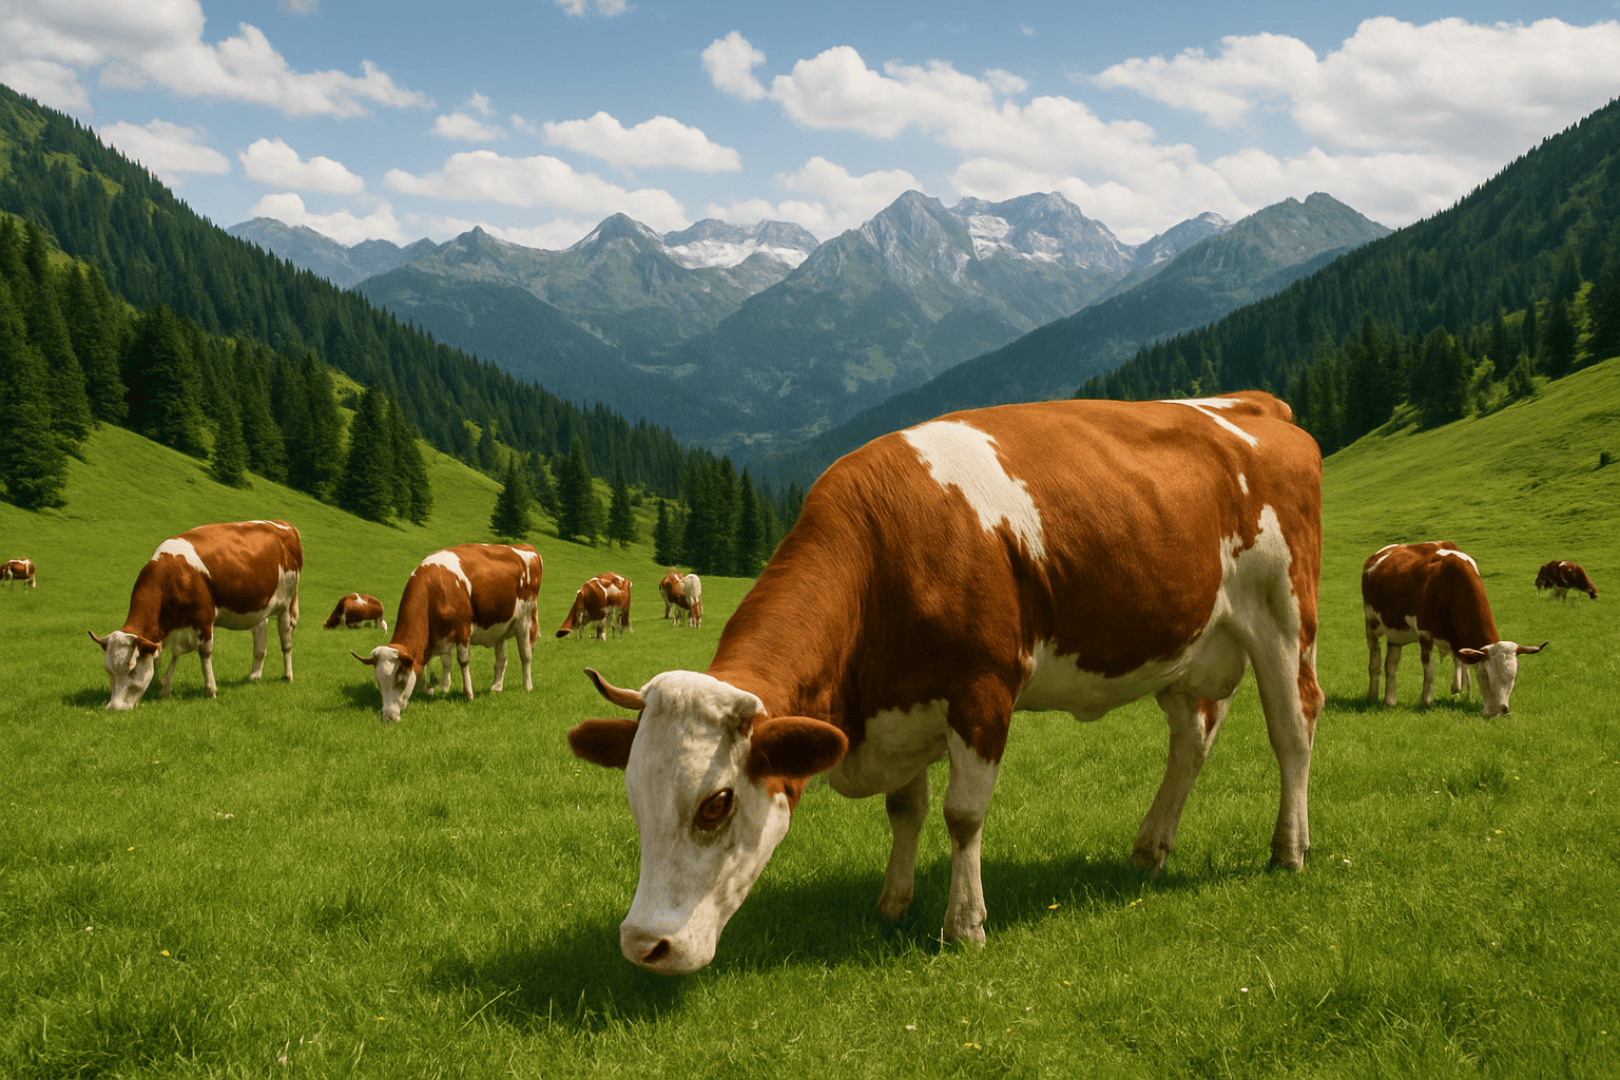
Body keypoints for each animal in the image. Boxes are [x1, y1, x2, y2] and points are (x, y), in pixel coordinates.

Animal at [88, 521, 303, 711]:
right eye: (109, 670)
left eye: (132, 669)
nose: (113, 708)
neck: (174, 575)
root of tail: (284, 524)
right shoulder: (172, 629)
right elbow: (172, 654)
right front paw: (164, 686)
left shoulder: (204, 619)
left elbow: (204, 653)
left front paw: (210, 690)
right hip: (259, 607)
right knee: (260, 635)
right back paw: (254, 675)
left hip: (287, 604)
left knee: (286, 641)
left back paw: (287, 675)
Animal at [352, 544, 541, 723]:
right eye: (378, 683)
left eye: (401, 681)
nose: (388, 717)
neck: (436, 586)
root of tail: (526, 547)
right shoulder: (439, 637)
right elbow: (442, 664)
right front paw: (438, 688)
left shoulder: (462, 629)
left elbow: (463, 661)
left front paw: (468, 694)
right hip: (500, 627)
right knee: (501, 659)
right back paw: (496, 687)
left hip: (525, 620)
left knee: (525, 655)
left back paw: (528, 686)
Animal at [568, 392, 1323, 974]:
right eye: (634, 798)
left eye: (717, 805)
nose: (644, 946)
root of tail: (1252, 405)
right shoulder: (903, 709)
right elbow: (906, 810)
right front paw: (892, 904)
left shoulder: (982, 691)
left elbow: (963, 816)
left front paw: (963, 926)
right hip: (1188, 644)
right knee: (1191, 739)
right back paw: (1149, 848)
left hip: (1285, 618)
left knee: (1294, 727)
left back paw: (1288, 851)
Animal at [1363, 541, 1546, 717]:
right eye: (1487, 676)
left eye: (1513, 678)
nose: (1502, 711)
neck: (1449, 582)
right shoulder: (1424, 633)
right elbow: (1430, 670)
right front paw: (1427, 701)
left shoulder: (1456, 639)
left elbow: (1459, 662)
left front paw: (1458, 691)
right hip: (1371, 624)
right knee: (1375, 662)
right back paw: (1372, 696)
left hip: (1396, 634)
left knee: (1391, 666)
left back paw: (1389, 701)